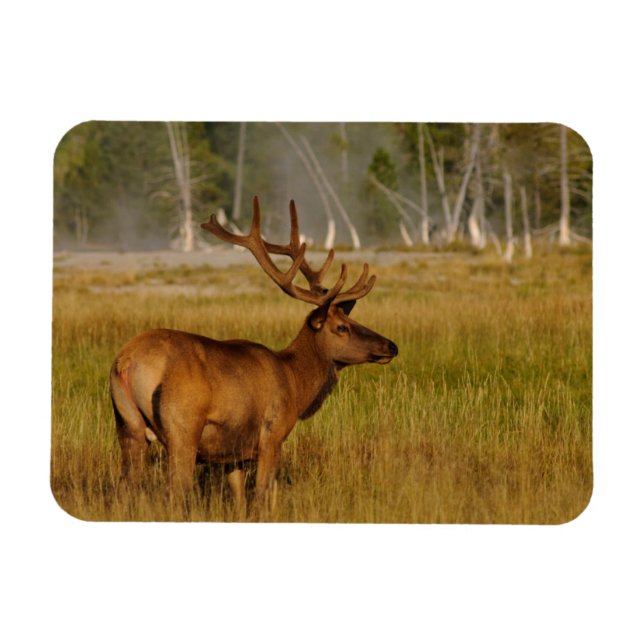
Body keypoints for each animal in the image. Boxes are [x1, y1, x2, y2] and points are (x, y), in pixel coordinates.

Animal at [109, 196, 398, 515]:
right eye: (342, 327)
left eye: (353, 320)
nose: (391, 346)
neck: (295, 383)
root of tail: (126, 362)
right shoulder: (272, 434)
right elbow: (261, 497)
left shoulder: (233, 454)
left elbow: (239, 501)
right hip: (182, 429)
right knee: (175, 493)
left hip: (128, 426)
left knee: (123, 490)